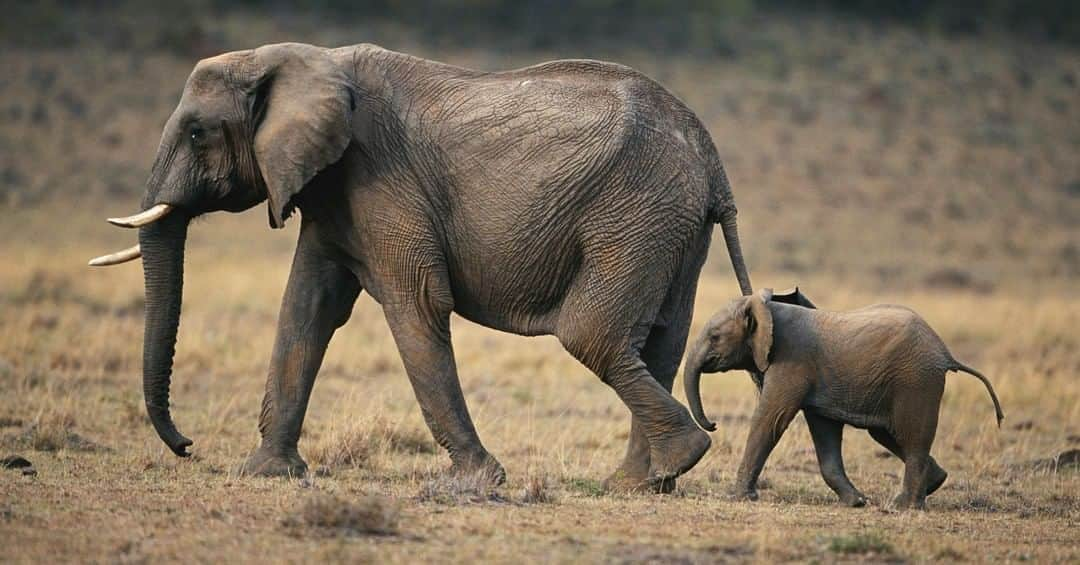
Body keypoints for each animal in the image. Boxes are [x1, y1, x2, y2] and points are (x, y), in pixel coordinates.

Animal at [90, 42, 751, 490]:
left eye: (197, 133)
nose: (186, 445)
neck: (294, 59)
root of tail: (713, 159)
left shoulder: (380, 177)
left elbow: (417, 304)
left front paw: (476, 483)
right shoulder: (332, 192)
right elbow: (306, 308)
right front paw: (268, 473)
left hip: (635, 212)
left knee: (592, 335)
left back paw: (678, 458)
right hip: (671, 226)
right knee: (659, 342)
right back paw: (641, 483)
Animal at [682, 289, 1002, 509]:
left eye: (714, 336)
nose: (713, 424)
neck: (765, 309)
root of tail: (946, 353)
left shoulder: (792, 362)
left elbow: (770, 419)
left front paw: (738, 497)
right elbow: (824, 430)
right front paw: (856, 502)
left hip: (916, 380)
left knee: (912, 437)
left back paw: (902, 506)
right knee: (889, 434)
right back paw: (934, 483)